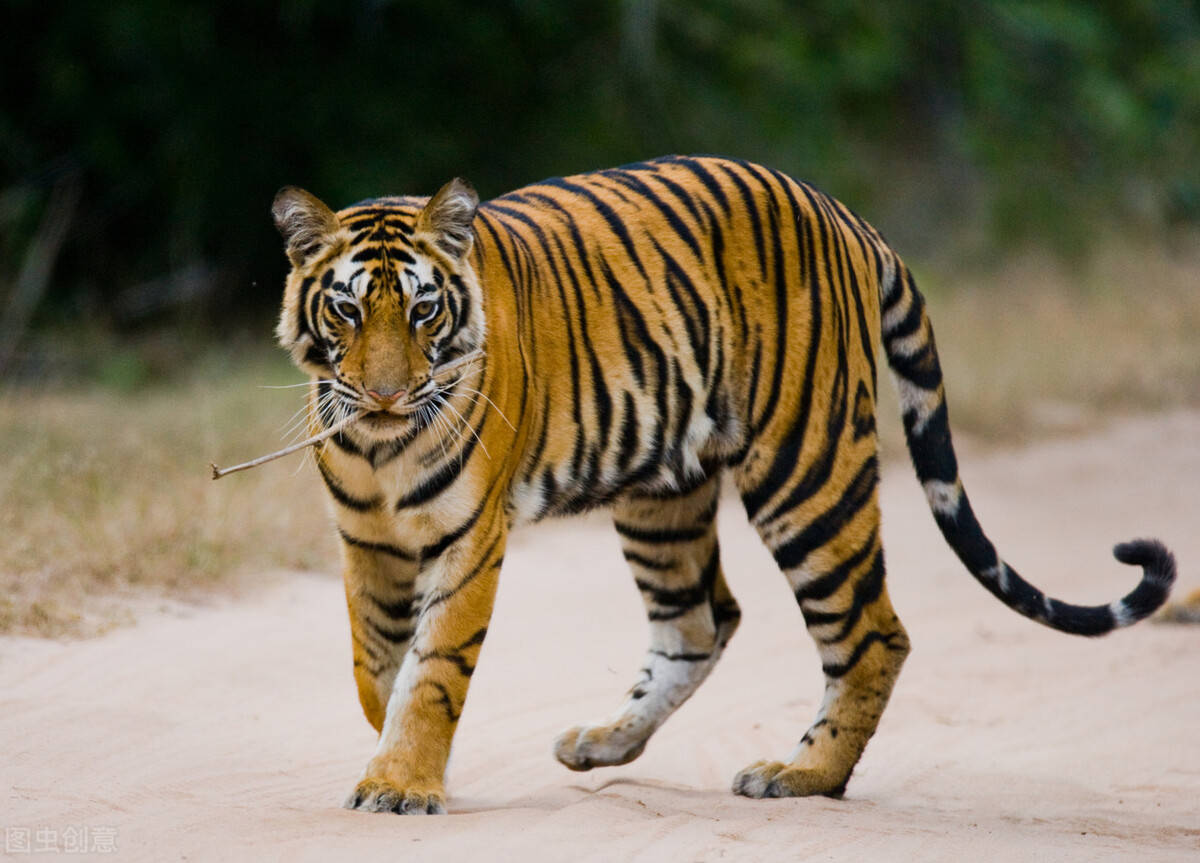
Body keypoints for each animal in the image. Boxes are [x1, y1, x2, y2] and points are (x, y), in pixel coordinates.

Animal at [270, 153, 1171, 816]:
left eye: (423, 312)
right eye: (348, 312)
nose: (385, 394)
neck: (381, 446)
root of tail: (842, 213)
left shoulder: (469, 538)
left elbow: (434, 666)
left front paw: (401, 782)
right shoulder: (367, 540)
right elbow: (377, 665)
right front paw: (403, 759)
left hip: (806, 471)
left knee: (872, 631)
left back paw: (801, 775)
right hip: (659, 493)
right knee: (700, 620)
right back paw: (604, 740)